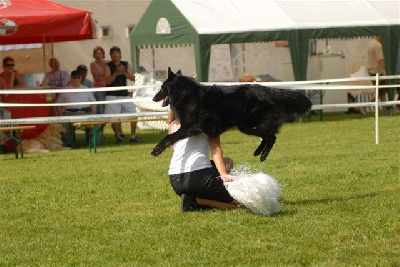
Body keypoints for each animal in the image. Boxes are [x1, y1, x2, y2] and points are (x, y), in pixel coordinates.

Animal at [152, 68, 310, 162]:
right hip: (246, 126)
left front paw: (157, 149)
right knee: (268, 136)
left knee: (271, 137)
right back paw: (258, 151)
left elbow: (169, 137)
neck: (186, 95)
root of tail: (270, 91)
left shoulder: (190, 127)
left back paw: (263, 155)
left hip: (249, 126)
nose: (153, 98)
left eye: (162, 88)